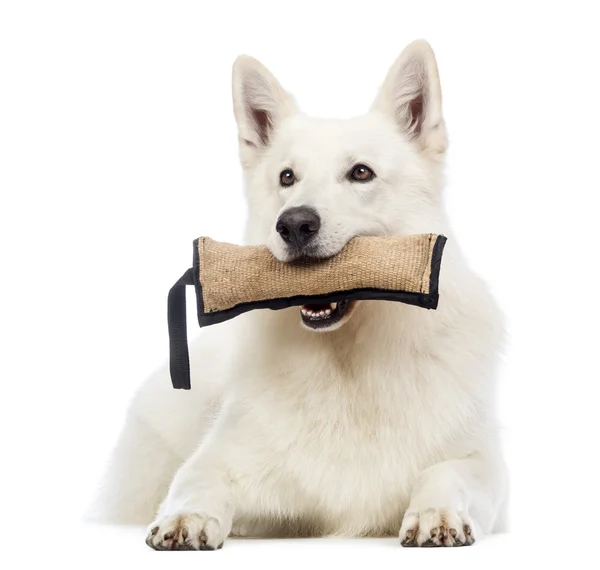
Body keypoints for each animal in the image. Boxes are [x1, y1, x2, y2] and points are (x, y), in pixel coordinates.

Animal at [94, 38, 506, 544]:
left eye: (361, 173)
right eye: (287, 177)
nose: (293, 224)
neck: (347, 363)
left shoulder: (483, 465)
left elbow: (447, 472)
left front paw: (437, 512)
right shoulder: (224, 462)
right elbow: (196, 481)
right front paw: (185, 517)